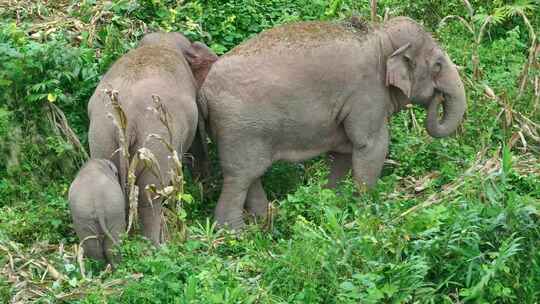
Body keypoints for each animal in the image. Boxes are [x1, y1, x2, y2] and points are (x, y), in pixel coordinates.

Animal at [88, 32, 217, 243]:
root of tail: (125, 113)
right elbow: (197, 141)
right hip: (155, 140)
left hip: (101, 135)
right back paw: (157, 245)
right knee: (150, 196)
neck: (163, 40)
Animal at [200, 17, 466, 230]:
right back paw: (235, 234)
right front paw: (367, 211)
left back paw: (264, 222)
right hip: (239, 128)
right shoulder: (366, 93)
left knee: (251, 174)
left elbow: (344, 154)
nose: (439, 96)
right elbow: (372, 146)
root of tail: (203, 91)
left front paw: (334, 205)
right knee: (239, 178)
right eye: (437, 65)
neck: (379, 37)